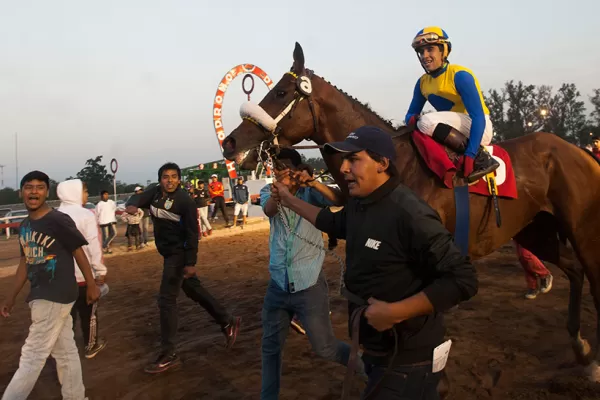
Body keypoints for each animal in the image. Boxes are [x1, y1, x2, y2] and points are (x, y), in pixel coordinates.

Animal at [220, 41, 600, 382]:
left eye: (281, 92)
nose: (230, 142)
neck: (394, 165)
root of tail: (578, 149)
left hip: (582, 229)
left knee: (591, 275)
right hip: (534, 229)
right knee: (574, 271)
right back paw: (581, 349)